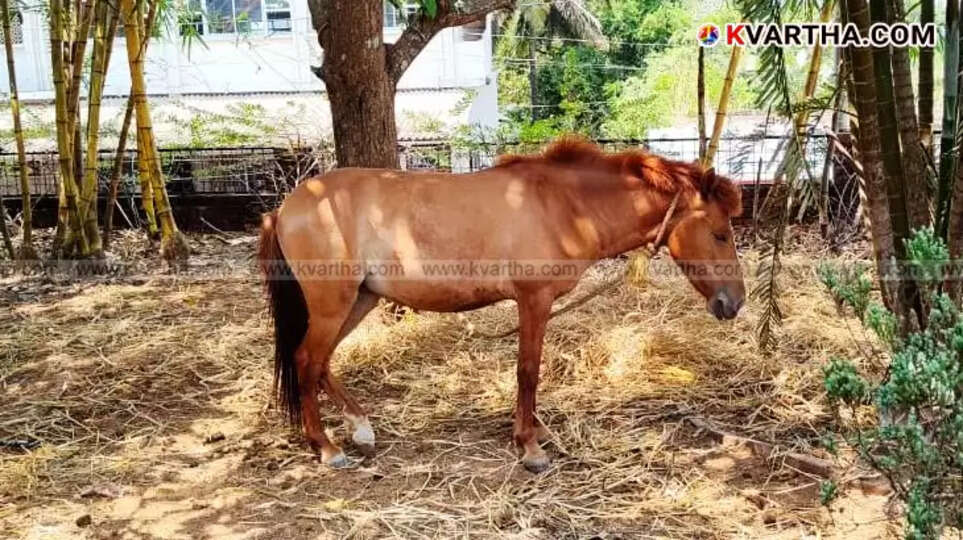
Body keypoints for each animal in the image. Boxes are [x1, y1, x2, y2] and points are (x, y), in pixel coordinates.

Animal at [257, 137, 745, 472]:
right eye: (720, 233)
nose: (735, 302)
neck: (564, 206)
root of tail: (286, 207)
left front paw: (535, 429)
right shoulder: (534, 301)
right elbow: (528, 371)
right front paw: (529, 445)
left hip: (359, 300)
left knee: (320, 363)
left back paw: (360, 426)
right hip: (332, 304)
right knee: (306, 360)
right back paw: (326, 447)